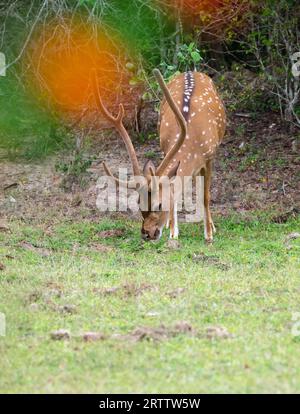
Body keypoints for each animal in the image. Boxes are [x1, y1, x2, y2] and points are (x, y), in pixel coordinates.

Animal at [92, 68, 226, 243]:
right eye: (138, 203)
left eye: (160, 205)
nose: (148, 233)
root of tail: (191, 71)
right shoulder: (165, 148)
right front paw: (174, 233)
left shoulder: (209, 157)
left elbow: (206, 196)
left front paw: (208, 235)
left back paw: (211, 226)